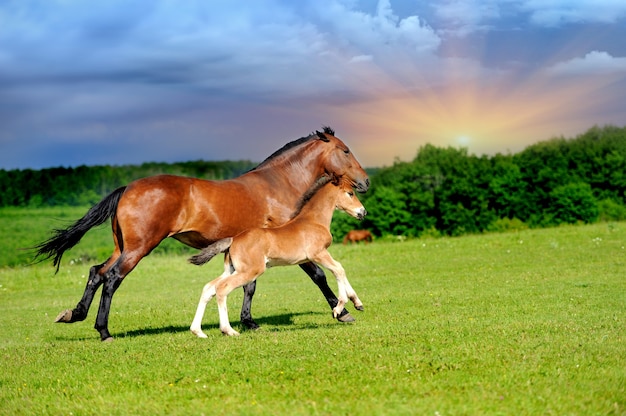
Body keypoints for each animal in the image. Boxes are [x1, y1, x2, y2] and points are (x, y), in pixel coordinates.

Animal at [188, 176, 364, 338]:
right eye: (350, 193)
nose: (362, 212)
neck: (313, 221)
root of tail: (233, 239)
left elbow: (339, 269)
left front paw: (358, 303)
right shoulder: (318, 254)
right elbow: (338, 269)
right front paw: (339, 309)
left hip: (232, 269)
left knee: (209, 288)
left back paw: (198, 331)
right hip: (250, 271)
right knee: (222, 288)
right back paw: (228, 330)